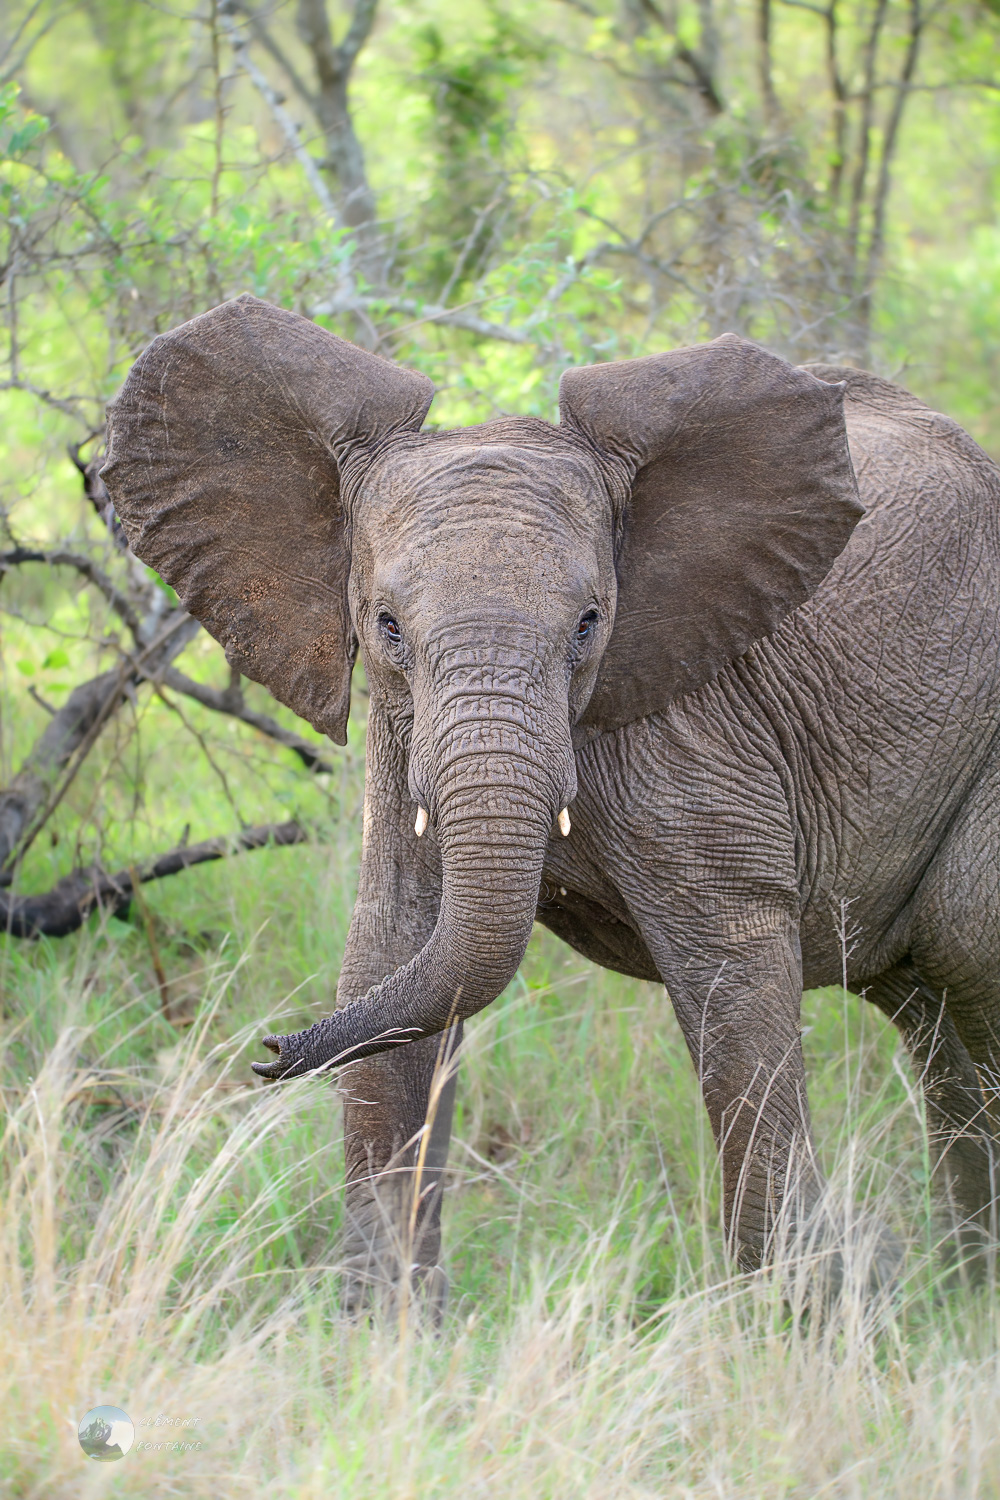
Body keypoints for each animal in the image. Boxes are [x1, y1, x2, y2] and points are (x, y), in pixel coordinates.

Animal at [101, 295, 1000, 1314]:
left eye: (589, 625)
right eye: (386, 625)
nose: (268, 1052)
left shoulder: (690, 731)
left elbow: (731, 982)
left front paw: (787, 1325)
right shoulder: (399, 734)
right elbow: (396, 946)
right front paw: (382, 1332)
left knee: (969, 962)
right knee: (936, 1023)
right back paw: (962, 1298)